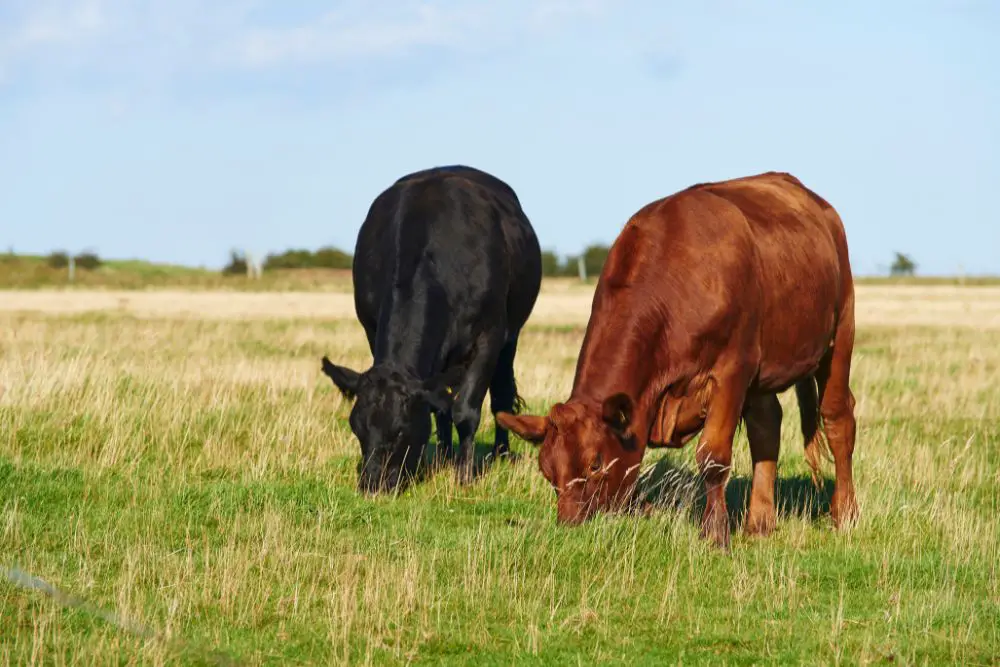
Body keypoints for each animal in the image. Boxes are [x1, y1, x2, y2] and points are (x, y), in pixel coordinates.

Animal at [320, 164, 540, 494]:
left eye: (401, 430)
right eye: (355, 427)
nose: (373, 484)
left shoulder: (489, 336)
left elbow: (466, 410)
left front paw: (465, 477)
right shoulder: (372, 329)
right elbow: (441, 407)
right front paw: (444, 462)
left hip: (510, 336)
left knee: (500, 397)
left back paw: (500, 452)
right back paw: (447, 455)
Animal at [500, 171, 860, 548]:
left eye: (595, 463)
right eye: (547, 470)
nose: (570, 525)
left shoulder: (733, 370)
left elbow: (713, 456)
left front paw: (714, 533)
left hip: (841, 331)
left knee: (837, 418)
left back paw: (845, 514)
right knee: (766, 425)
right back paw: (760, 522)